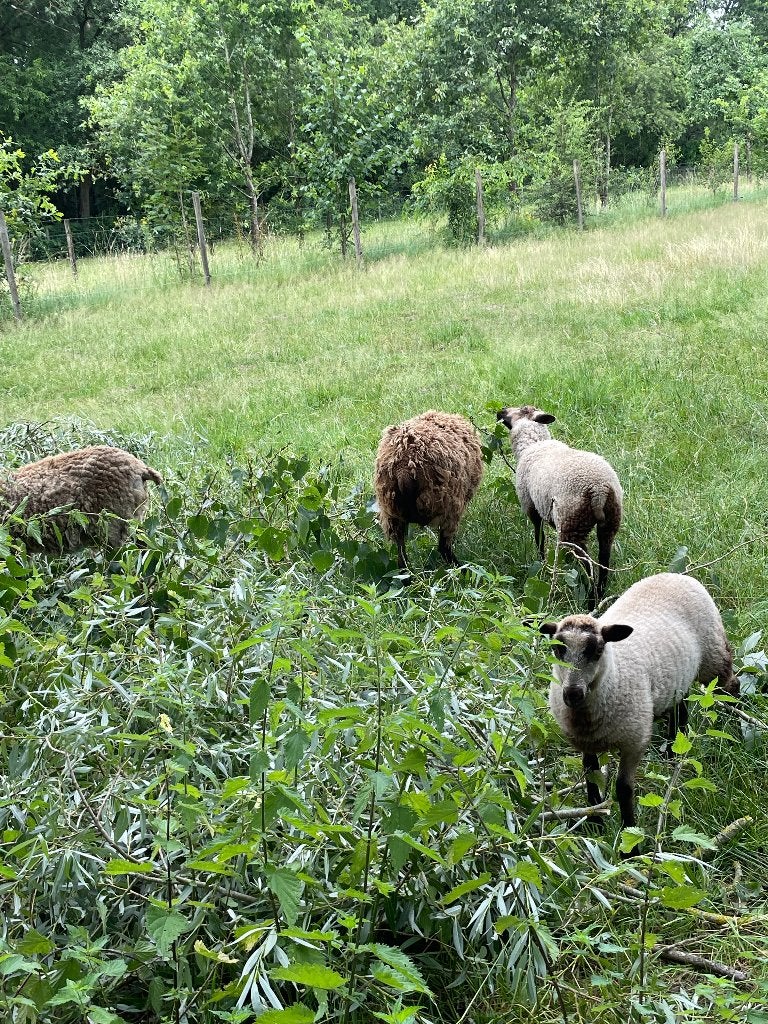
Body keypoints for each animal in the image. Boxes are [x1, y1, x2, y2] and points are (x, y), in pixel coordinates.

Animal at [374, 411, 484, 570]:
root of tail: (403, 469)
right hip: (447, 506)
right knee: (444, 548)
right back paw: (462, 568)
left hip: (391, 513)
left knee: (402, 558)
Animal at [496, 405, 622, 609]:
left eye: (522, 409)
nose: (501, 410)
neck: (533, 444)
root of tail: (599, 489)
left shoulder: (531, 507)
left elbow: (539, 537)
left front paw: (542, 563)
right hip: (609, 521)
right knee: (604, 561)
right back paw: (599, 595)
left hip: (573, 524)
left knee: (587, 565)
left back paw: (590, 601)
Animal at [541, 572, 739, 847]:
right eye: (557, 648)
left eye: (597, 649)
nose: (572, 693)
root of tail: (676, 574)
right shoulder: (585, 741)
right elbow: (591, 777)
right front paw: (595, 823)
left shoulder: (634, 741)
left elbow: (624, 789)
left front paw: (630, 843)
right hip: (678, 677)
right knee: (681, 706)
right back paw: (673, 752)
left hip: (714, 656)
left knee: (732, 685)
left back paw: (735, 738)